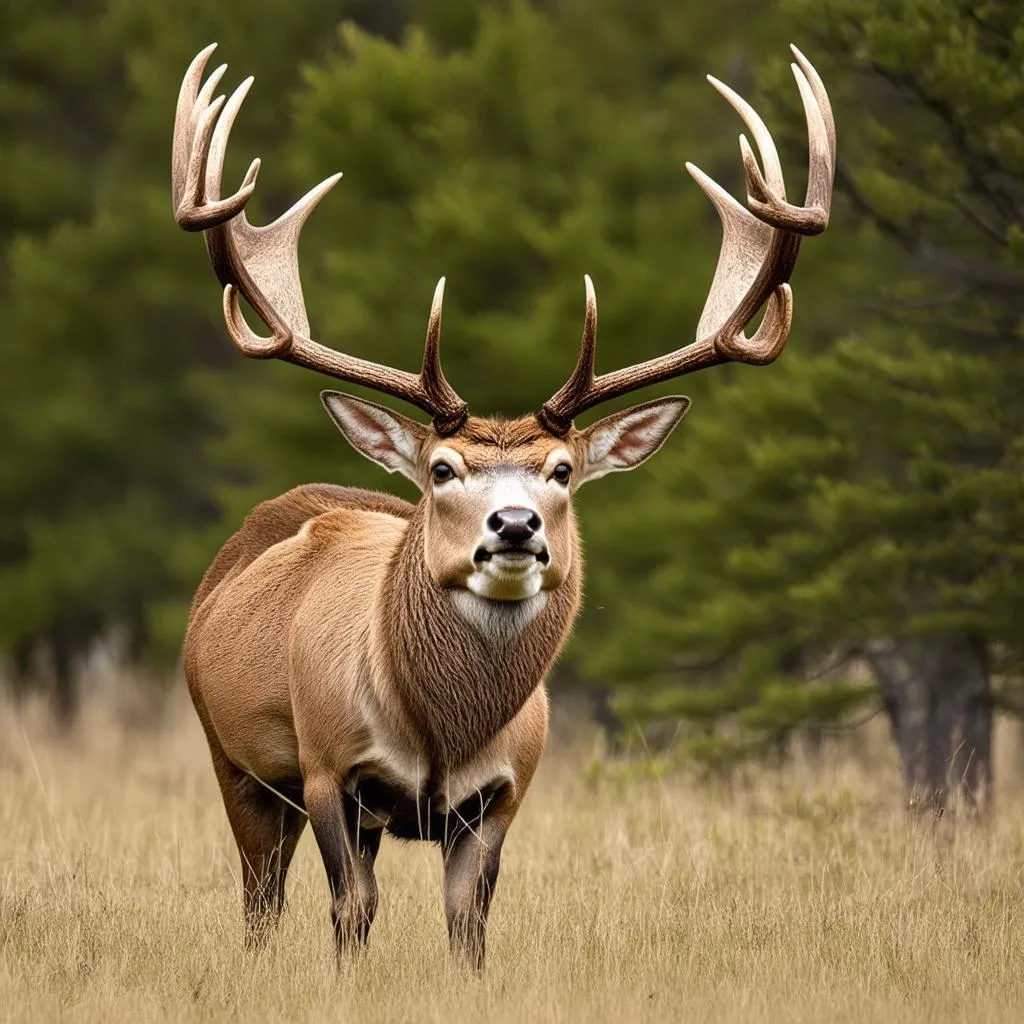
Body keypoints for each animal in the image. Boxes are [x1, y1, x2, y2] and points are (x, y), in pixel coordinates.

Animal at [172, 41, 835, 966]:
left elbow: (468, 924)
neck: (441, 731)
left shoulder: (505, 791)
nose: (514, 526)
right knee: (261, 898)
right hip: (231, 754)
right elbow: (351, 911)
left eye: (561, 471)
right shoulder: (330, 763)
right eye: (443, 469)